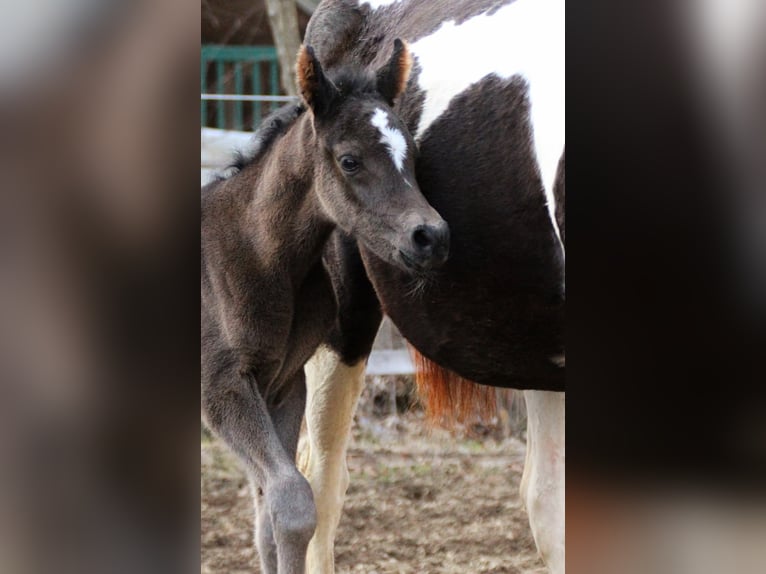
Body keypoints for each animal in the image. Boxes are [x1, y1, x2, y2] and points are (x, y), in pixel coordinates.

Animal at [201, 40, 450, 574]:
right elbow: (293, 501)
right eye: (350, 160)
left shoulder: (283, 381)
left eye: (413, 152)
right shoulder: (222, 386)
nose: (432, 237)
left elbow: (269, 513)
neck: (263, 257)